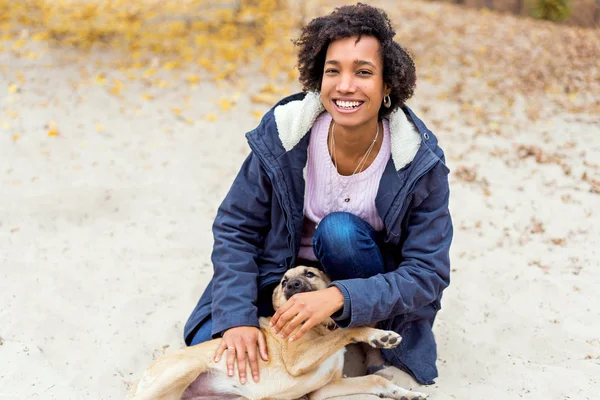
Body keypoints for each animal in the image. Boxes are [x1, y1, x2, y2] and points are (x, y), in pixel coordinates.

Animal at [127, 266, 426, 400]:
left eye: (309, 274)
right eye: (282, 282)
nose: (291, 285)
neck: (318, 327)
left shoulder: (323, 389)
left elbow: (376, 380)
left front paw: (404, 393)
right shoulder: (298, 361)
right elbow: (348, 329)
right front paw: (379, 336)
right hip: (187, 367)